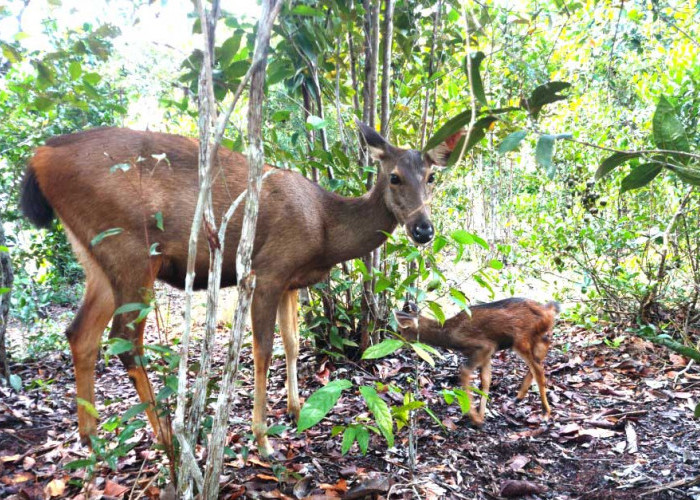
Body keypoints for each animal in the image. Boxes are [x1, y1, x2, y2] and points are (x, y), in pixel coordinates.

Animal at [19, 122, 462, 458]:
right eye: (394, 177)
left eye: (431, 177)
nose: (424, 229)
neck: (325, 229)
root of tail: (39, 157)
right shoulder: (266, 271)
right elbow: (262, 350)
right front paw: (262, 439)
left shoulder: (290, 281)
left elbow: (292, 343)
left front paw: (295, 408)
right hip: (131, 249)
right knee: (125, 338)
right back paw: (167, 437)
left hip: (97, 257)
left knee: (80, 333)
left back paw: (91, 437)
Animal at [394, 296, 556, 426]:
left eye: (400, 331)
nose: (396, 344)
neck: (449, 335)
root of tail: (549, 311)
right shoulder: (487, 352)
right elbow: (486, 380)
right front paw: (481, 415)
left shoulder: (484, 346)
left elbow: (465, 371)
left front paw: (475, 418)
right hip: (540, 339)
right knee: (538, 364)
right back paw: (519, 397)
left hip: (521, 339)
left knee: (539, 370)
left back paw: (545, 412)